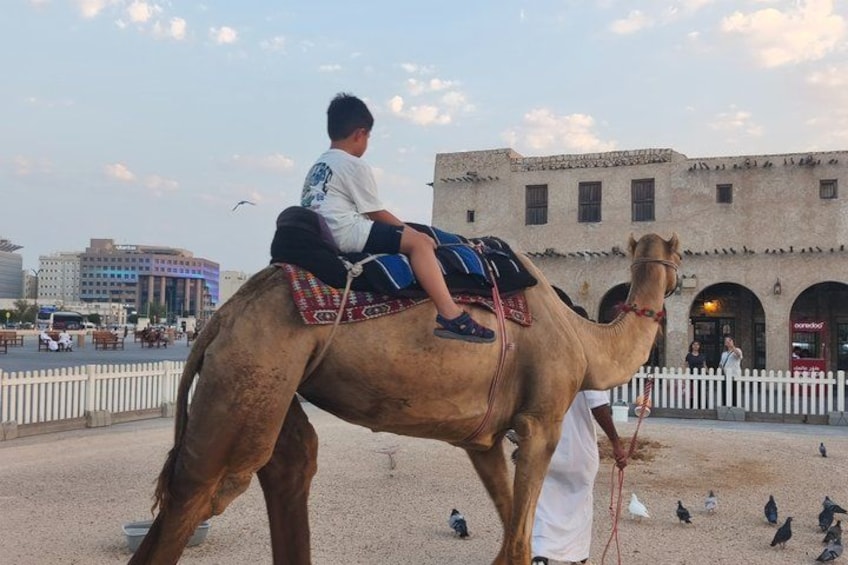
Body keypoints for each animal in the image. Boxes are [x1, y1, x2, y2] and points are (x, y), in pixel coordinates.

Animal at [128, 233, 680, 565]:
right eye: (678, 252)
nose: (680, 276)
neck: (584, 341)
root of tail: (221, 315)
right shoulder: (541, 422)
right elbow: (520, 538)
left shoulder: (482, 441)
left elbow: (509, 532)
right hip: (251, 367)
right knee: (203, 488)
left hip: (275, 383)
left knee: (288, 468)